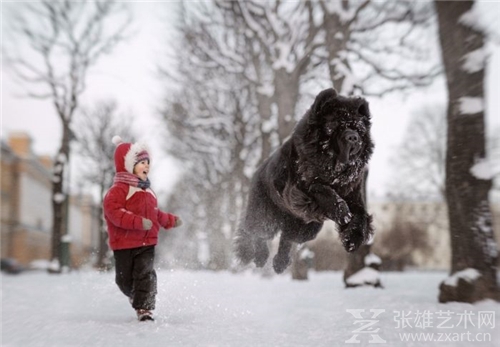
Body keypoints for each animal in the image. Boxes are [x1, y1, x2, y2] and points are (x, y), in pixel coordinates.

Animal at [236, 89, 374, 274]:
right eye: (337, 126)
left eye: (358, 128)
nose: (354, 138)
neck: (335, 170)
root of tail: (258, 170)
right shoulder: (299, 189)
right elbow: (322, 188)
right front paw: (342, 212)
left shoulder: (354, 196)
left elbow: (360, 217)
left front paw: (352, 239)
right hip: (265, 214)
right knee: (257, 233)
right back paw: (260, 257)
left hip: (307, 227)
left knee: (287, 238)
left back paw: (280, 263)